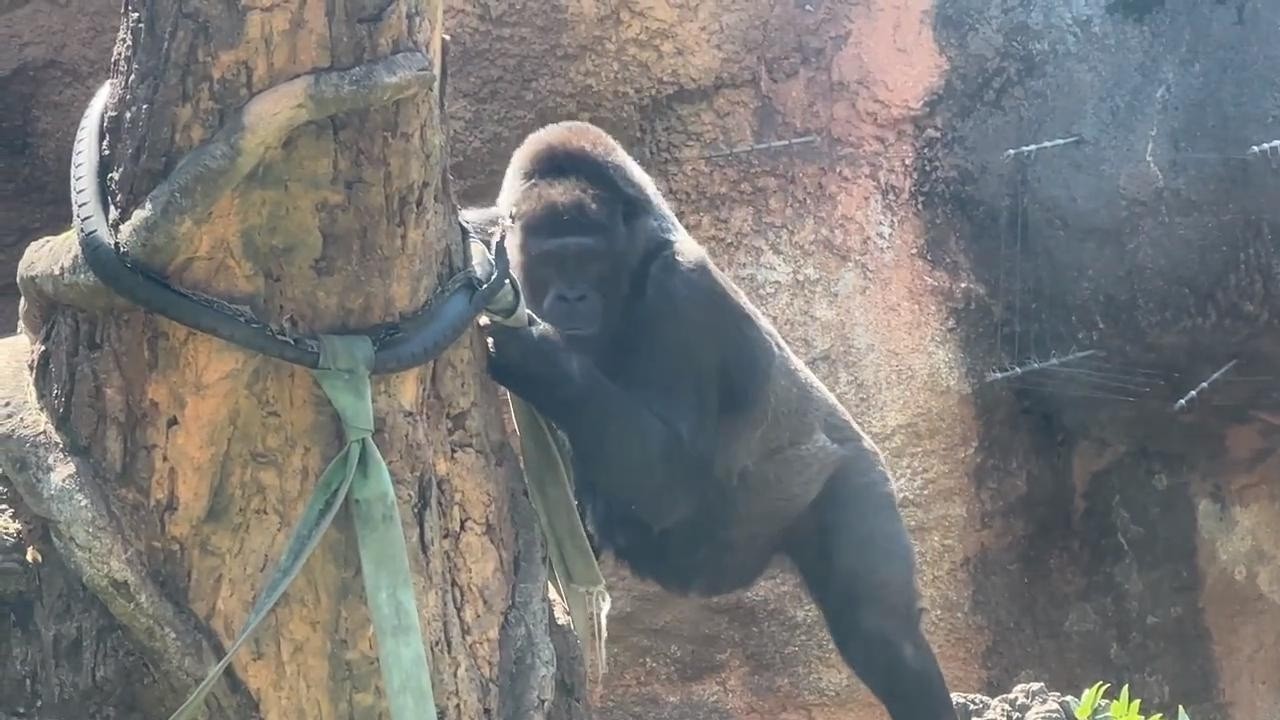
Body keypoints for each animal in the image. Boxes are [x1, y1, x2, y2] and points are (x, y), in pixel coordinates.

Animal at [462, 121, 958, 720]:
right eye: (550, 260)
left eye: (587, 260)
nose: (572, 296)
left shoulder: (683, 290)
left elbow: (669, 482)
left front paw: (537, 357)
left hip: (852, 473)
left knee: (883, 633)